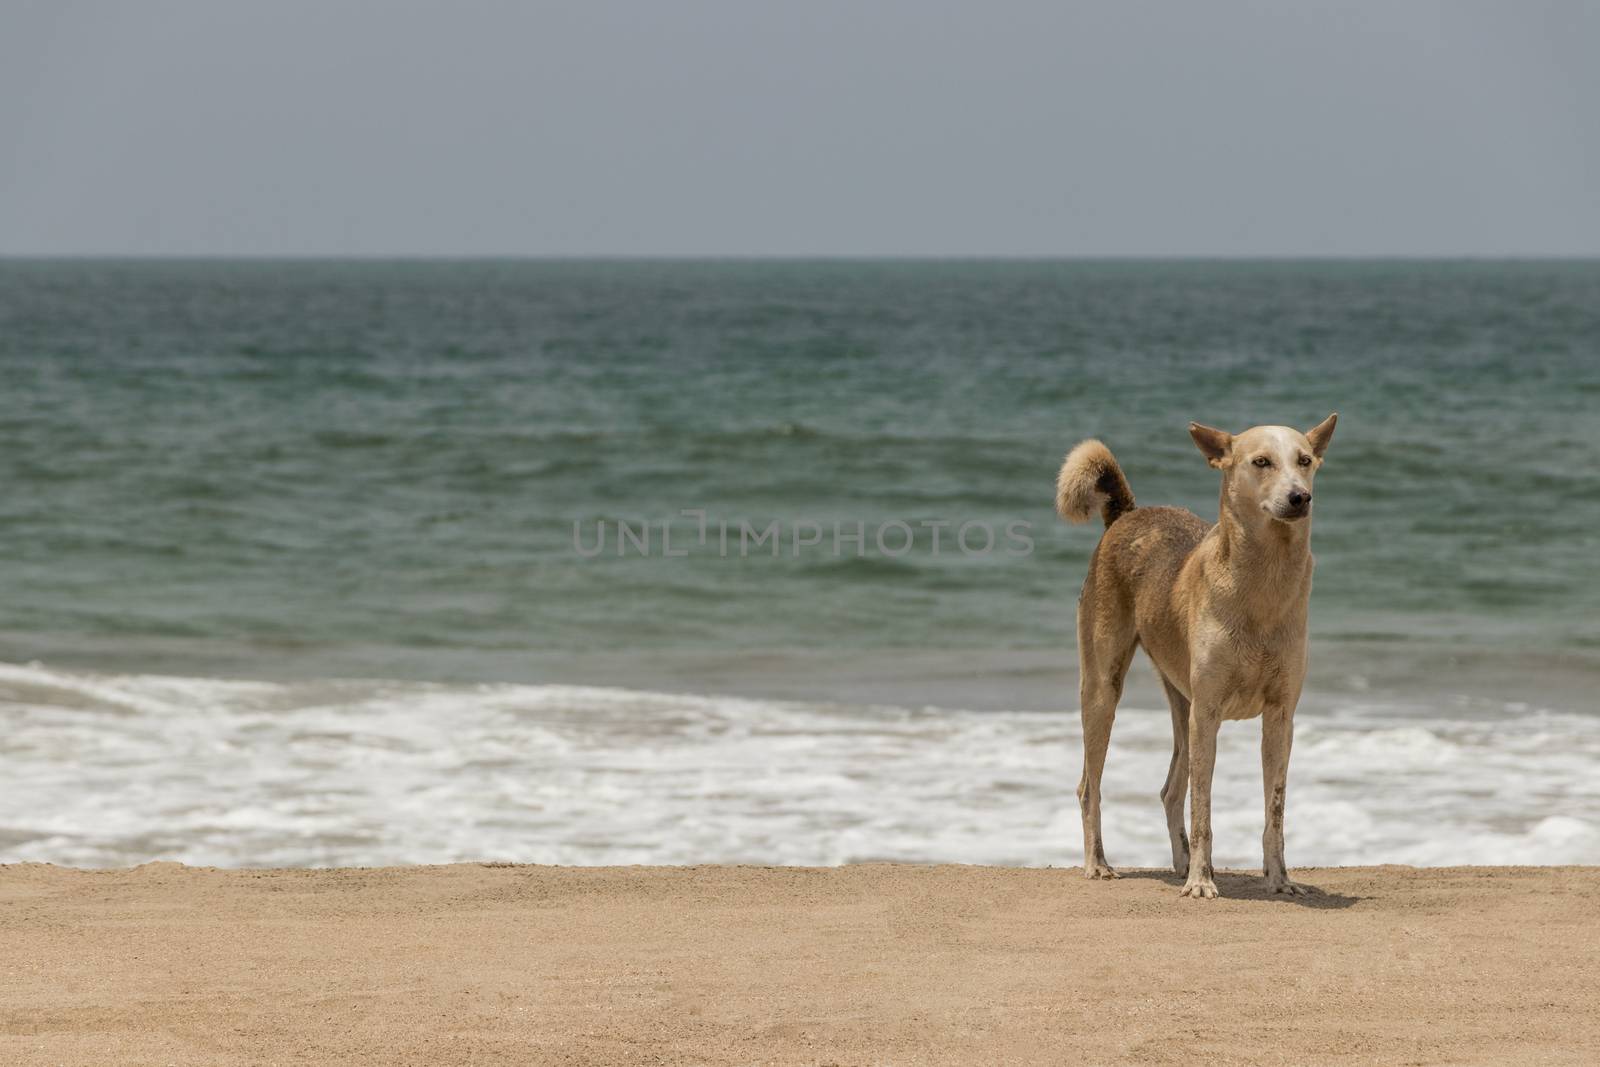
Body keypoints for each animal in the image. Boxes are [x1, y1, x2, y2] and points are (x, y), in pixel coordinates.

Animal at [1049, 412, 1337, 895]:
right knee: (1090, 786)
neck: (1262, 589)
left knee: (1169, 790)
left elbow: (1275, 809)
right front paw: (1201, 882)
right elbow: (1203, 805)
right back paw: (1100, 863)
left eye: (1305, 460)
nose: (1300, 497)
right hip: (1104, 690)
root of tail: (1127, 514)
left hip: (1181, 704)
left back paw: (1181, 863)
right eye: (1261, 462)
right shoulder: (1209, 712)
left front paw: (1279, 879)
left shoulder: (1281, 716)